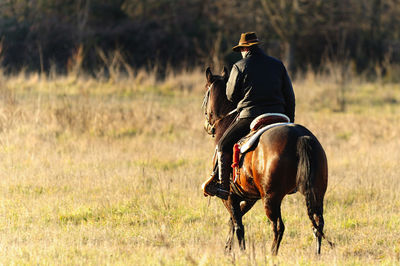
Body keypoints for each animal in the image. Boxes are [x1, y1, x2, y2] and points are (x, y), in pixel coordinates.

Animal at [203, 67, 332, 255]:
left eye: (206, 91)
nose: (208, 126)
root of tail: (300, 137)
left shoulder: (229, 196)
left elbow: (238, 225)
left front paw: (240, 252)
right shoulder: (249, 197)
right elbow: (233, 222)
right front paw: (228, 248)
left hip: (271, 199)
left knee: (278, 227)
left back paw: (272, 254)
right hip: (316, 191)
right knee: (317, 223)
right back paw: (317, 254)